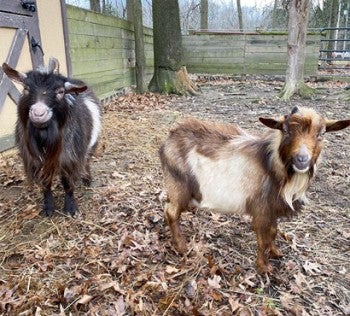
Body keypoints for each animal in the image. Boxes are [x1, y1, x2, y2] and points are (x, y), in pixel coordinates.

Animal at [2, 58, 101, 217]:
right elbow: (45, 183)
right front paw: (48, 208)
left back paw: (87, 178)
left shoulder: (69, 158)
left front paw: (71, 208)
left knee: (86, 160)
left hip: (91, 144)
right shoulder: (36, 160)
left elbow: (67, 182)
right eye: (26, 89)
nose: (38, 113)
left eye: (61, 92)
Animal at [159, 107, 350, 272]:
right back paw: (181, 247)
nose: (302, 159)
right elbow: (262, 239)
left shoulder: (272, 210)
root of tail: (169, 137)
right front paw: (264, 268)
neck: (272, 166)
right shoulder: (261, 210)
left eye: (321, 133)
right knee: (171, 212)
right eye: (286, 131)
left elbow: (273, 232)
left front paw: (275, 252)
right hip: (178, 186)